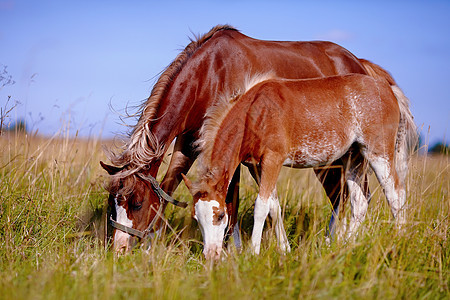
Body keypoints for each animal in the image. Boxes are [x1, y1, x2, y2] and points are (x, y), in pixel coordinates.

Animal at [182, 74, 414, 258]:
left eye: (220, 215)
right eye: (196, 218)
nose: (211, 255)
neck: (255, 112)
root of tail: (387, 88)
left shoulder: (273, 160)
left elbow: (261, 207)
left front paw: (253, 252)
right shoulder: (257, 167)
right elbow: (274, 206)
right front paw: (284, 249)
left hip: (378, 153)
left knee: (395, 194)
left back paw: (400, 241)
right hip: (353, 158)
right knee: (361, 202)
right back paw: (346, 245)